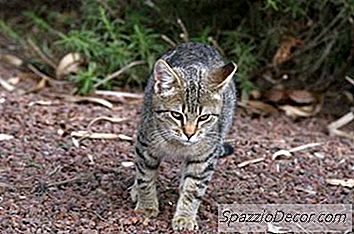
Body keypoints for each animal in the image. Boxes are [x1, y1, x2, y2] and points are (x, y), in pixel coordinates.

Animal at [131, 41, 238, 230]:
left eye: (203, 117)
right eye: (177, 115)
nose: (189, 133)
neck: (178, 145)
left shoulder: (205, 157)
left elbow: (193, 189)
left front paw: (185, 216)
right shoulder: (145, 146)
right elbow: (145, 177)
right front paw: (146, 205)